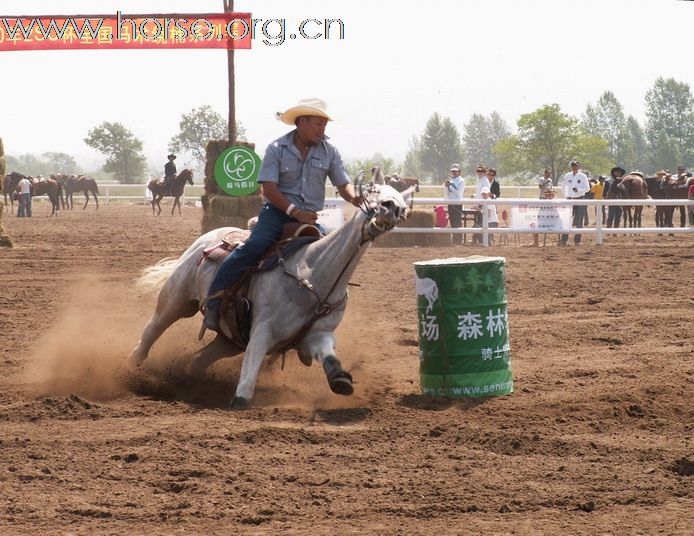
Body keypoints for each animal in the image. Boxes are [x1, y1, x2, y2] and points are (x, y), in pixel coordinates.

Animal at [130, 183, 414, 406]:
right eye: (375, 191)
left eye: (401, 200)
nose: (392, 209)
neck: (312, 273)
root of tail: (208, 236)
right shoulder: (263, 330)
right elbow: (250, 369)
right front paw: (241, 398)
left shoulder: (317, 335)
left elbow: (329, 357)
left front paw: (340, 379)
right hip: (176, 300)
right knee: (151, 330)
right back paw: (134, 366)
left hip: (229, 339)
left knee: (197, 359)